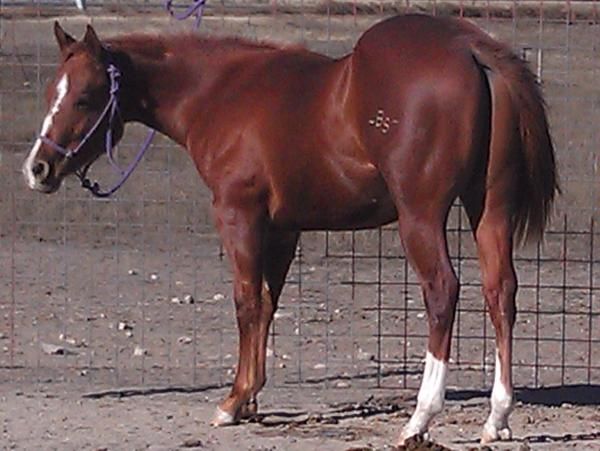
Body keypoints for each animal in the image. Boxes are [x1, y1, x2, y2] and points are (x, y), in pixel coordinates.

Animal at [23, 15, 558, 445]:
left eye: (86, 98)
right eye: (51, 94)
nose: (38, 169)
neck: (222, 91)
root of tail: (470, 48)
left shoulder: (237, 215)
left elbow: (245, 301)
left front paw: (231, 402)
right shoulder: (283, 229)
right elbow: (266, 304)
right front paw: (250, 399)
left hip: (421, 215)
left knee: (442, 292)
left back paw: (420, 420)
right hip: (489, 209)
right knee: (500, 292)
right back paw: (497, 419)